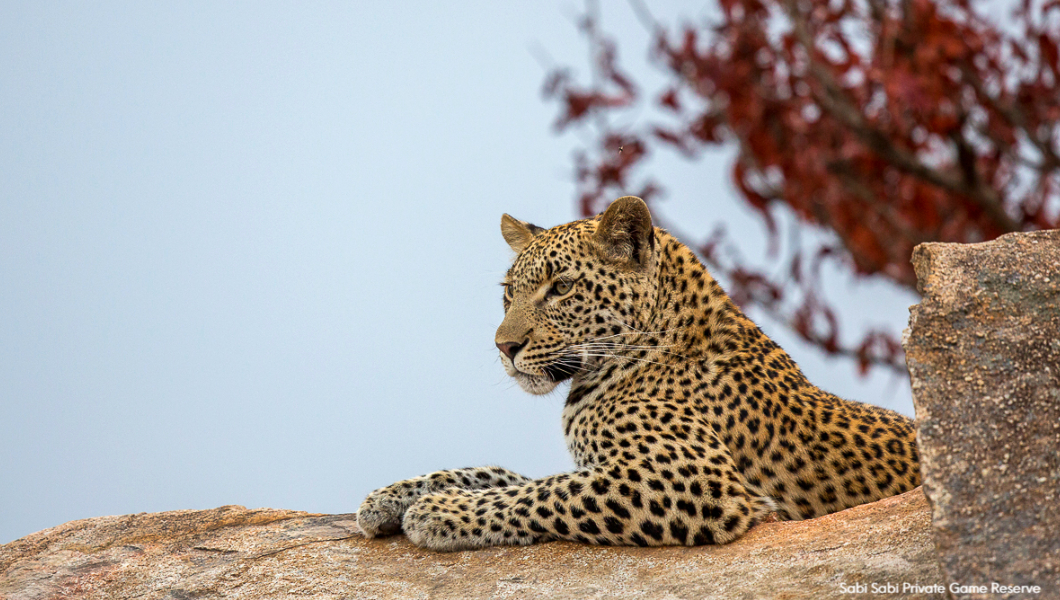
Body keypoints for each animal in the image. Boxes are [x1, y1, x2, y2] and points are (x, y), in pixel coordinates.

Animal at [356, 195, 920, 551]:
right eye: (508, 293)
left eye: (561, 287)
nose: (504, 347)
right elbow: (498, 474)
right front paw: (390, 498)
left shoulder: (693, 480)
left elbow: (540, 493)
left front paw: (439, 512)